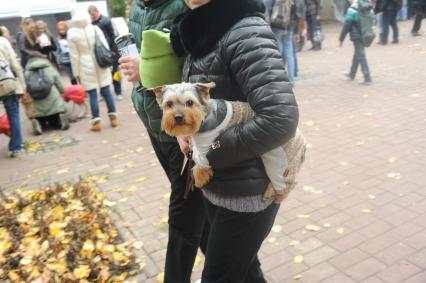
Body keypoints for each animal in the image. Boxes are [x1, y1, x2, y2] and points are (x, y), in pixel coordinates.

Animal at [151, 82, 304, 204]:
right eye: (169, 104)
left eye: (190, 102)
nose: (178, 117)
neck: (204, 115)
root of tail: (303, 143)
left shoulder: (206, 148)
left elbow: (199, 164)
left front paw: (199, 179)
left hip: (277, 159)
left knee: (288, 182)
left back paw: (274, 194)